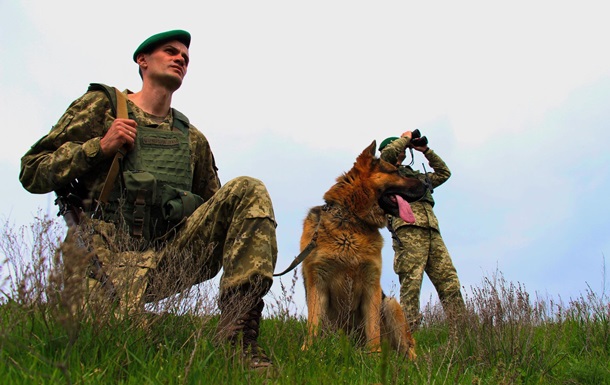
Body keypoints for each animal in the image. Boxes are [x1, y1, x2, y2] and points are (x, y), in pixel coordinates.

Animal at [298, 140, 422, 356]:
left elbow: (373, 327)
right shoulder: (317, 282)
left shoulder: (371, 284)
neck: (351, 219)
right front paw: (309, 350)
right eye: (395, 172)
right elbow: (313, 322)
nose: (426, 185)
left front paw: (374, 355)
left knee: (408, 350)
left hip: (391, 305)